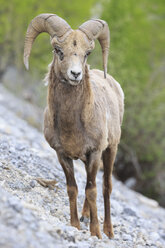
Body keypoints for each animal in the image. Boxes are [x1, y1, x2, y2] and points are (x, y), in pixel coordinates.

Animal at [23, 13, 124, 238]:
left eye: (87, 53)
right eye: (58, 50)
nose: (75, 74)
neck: (73, 125)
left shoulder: (95, 152)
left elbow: (92, 190)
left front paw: (95, 233)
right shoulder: (63, 155)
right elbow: (73, 188)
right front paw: (76, 225)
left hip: (110, 150)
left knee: (106, 187)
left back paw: (108, 231)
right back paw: (86, 216)